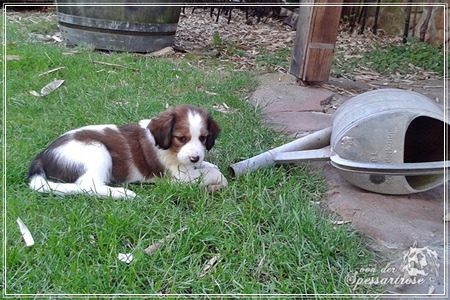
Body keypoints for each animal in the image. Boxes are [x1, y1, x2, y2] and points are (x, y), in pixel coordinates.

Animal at [27, 104, 229, 198]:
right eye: (181, 138)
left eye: (203, 138)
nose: (195, 158)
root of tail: (42, 156)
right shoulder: (179, 179)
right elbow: (213, 173)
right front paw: (219, 178)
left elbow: (209, 166)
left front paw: (206, 163)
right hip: (98, 151)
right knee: (88, 187)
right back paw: (122, 193)